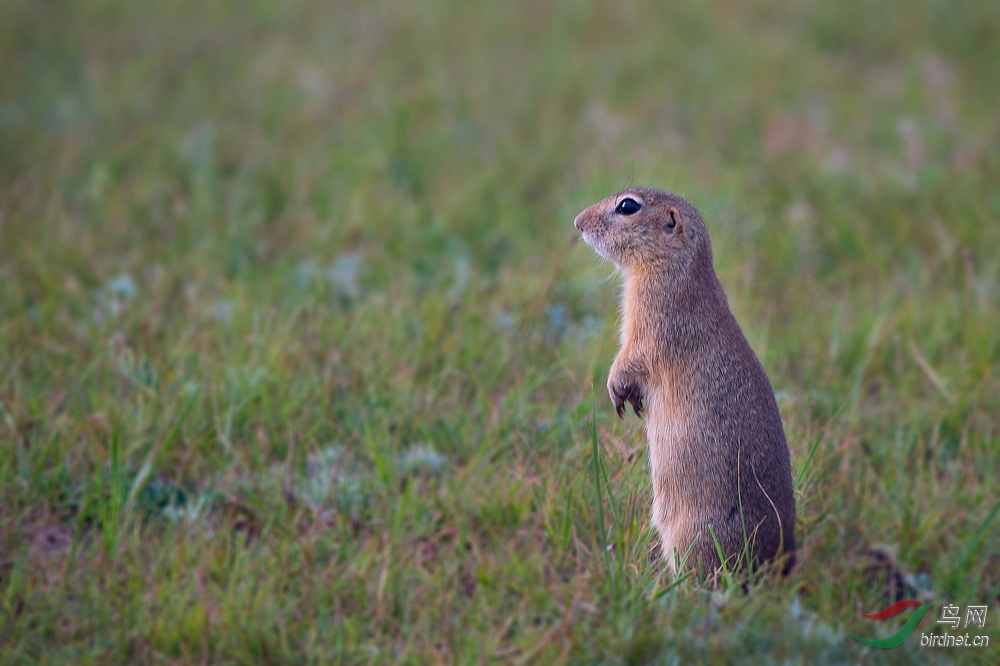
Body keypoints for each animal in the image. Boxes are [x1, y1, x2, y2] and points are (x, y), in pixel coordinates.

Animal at [580, 187, 796, 576]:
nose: (577, 222)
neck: (676, 269)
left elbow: (630, 358)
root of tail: (779, 562)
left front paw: (616, 391)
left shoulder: (651, 319)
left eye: (628, 206)